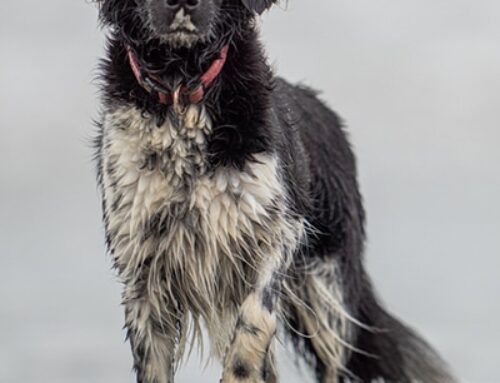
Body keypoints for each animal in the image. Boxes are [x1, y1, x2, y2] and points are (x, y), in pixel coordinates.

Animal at [93, 0, 458, 383]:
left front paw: (238, 372)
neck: (182, 91)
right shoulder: (141, 267)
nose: (183, 3)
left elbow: (255, 318)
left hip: (328, 290)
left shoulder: (276, 229)